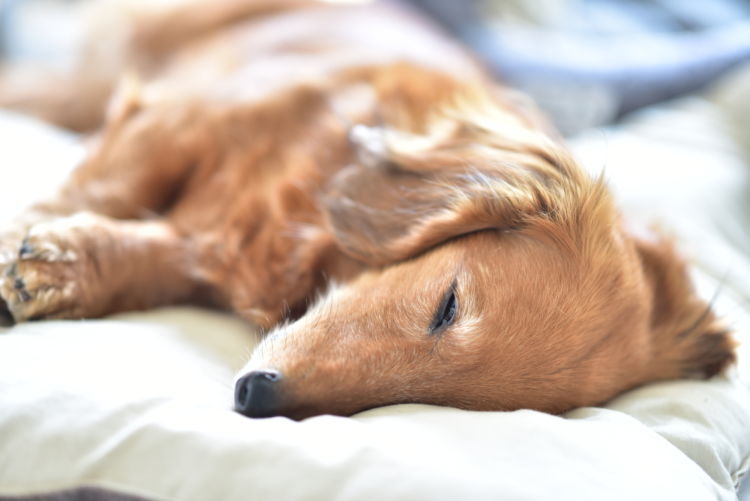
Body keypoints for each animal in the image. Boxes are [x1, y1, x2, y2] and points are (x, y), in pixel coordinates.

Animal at [0, 0, 736, 418]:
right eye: (447, 306)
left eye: (435, 401)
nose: (254, 397)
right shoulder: (174, 122)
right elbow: (100, 191)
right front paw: (25, 246)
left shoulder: (195, 252)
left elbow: (138, 258)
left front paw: (55, 270)